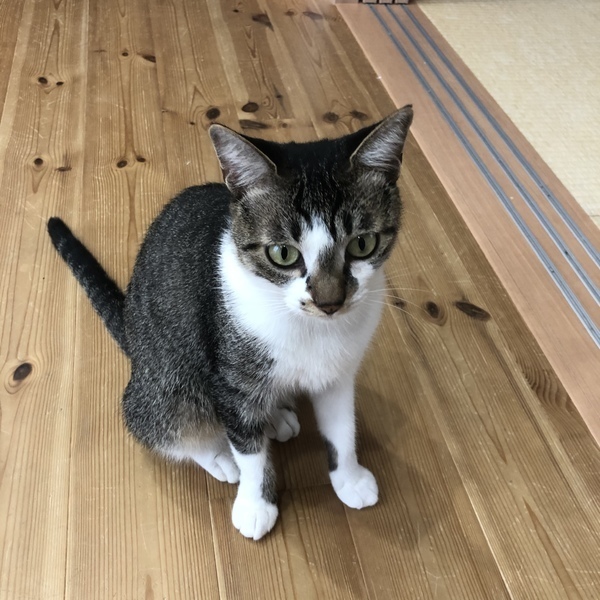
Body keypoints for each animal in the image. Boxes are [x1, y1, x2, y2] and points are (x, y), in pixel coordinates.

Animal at [47, 105, 413, 540]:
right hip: (169, 380)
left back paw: (276, 416)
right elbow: (249, 449)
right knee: (167, 421)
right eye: (283, 254)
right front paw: (255, 504)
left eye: (362, 244)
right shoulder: (228, 376)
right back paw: (219, 455)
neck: (310, 327)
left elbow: (342, 426)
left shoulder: (339, 371)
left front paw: (350, 479)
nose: (329, 302)